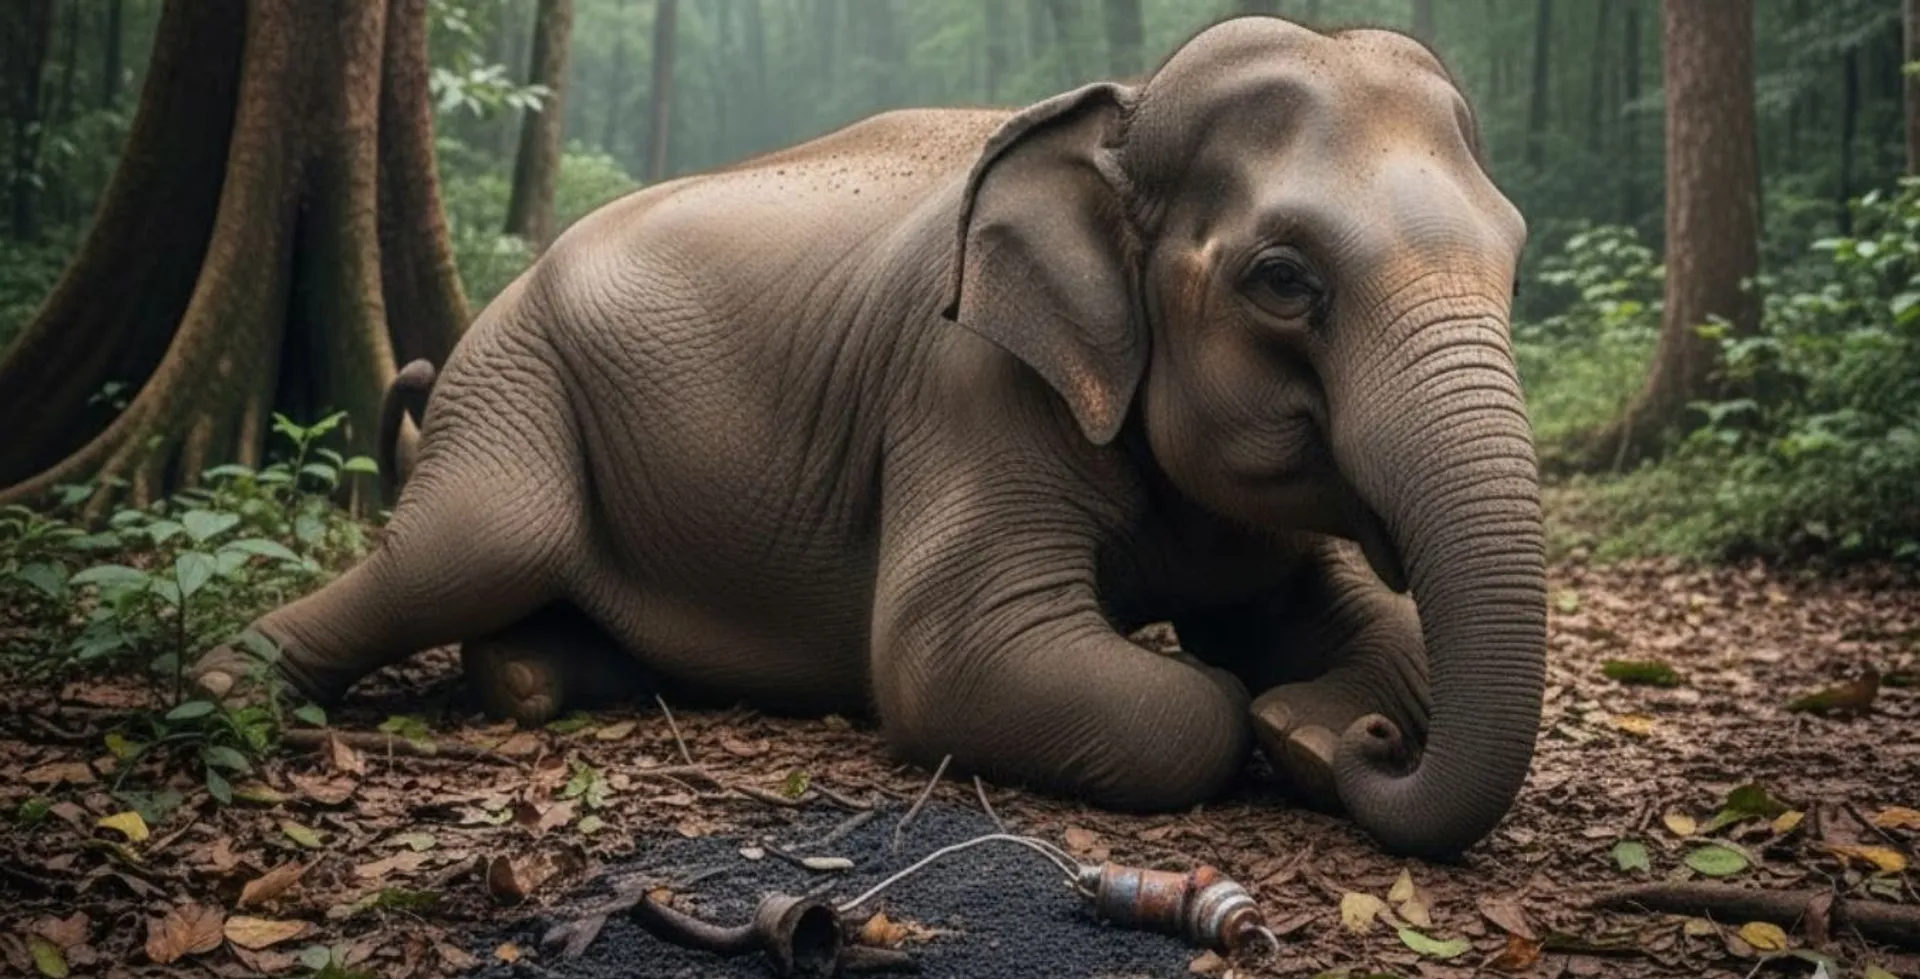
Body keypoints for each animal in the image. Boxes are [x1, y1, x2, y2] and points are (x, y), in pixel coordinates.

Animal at [190, 15, 1545, 858]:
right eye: (1282, 279)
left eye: (1517, 249)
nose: (1374, 750)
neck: (1115, 108)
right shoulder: (963, 387)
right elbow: (961, 660)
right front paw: (1261, 711)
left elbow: (1370, 629)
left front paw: (1309, 718)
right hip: (512, 391)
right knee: (468, 546)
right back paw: (216, 690)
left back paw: (527, 677)